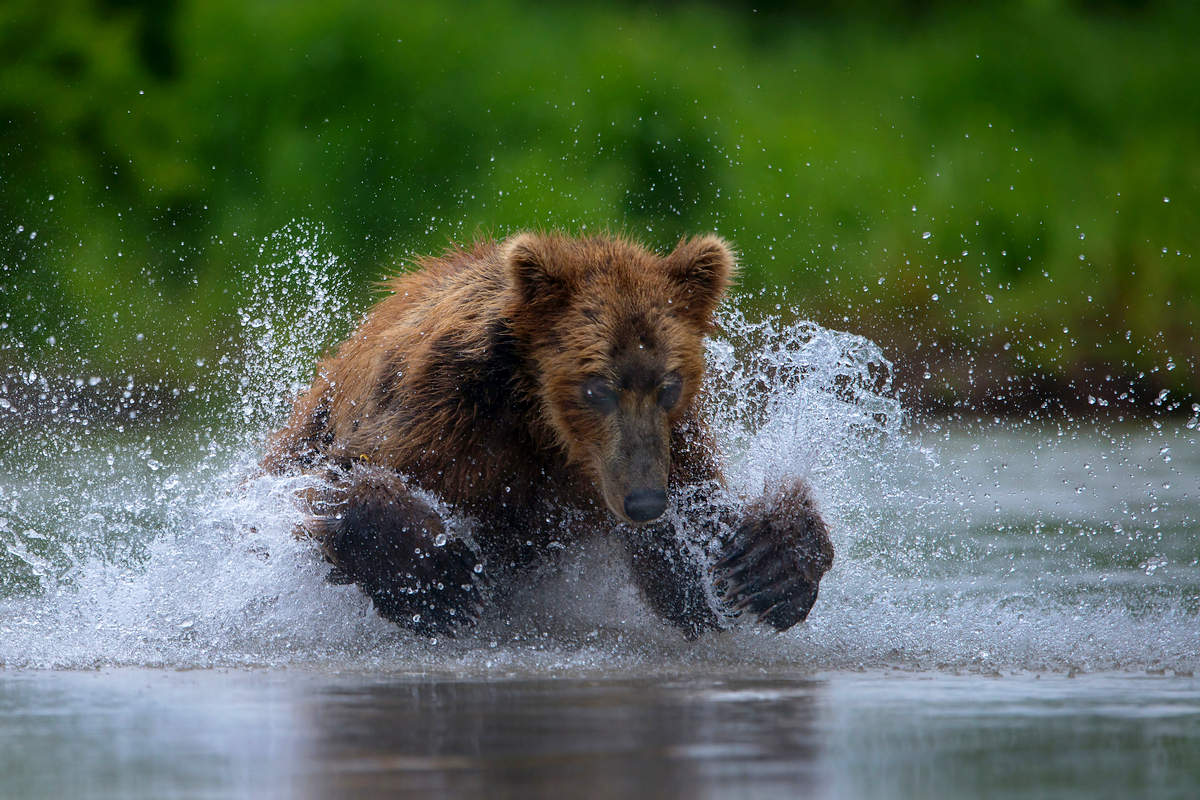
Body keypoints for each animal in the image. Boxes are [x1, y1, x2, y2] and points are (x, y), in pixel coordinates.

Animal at [265, 231, 835, 638]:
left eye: (669, 384)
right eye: (597, 387)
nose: (645, 500)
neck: (543, 424)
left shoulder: (669, 443)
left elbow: (692, 562)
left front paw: (767, 564)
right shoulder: (436, 412)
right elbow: (328, 483)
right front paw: (441, 577)